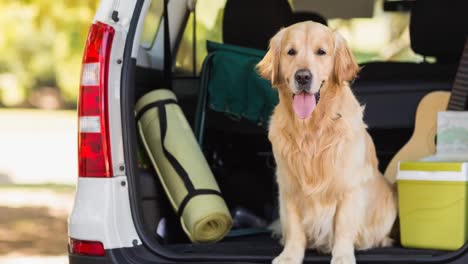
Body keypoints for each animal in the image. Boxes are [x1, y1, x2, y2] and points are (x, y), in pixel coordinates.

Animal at [258, 22, 396, 264]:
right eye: (290, 52)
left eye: (321, 52)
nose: (303, 76)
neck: (311, 130)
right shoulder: (288, 187)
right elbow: (294, 228)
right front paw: (289, 256)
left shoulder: (349, 187)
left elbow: (343, 227)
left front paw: (342, 257)